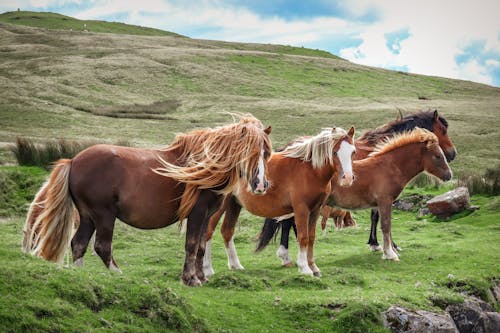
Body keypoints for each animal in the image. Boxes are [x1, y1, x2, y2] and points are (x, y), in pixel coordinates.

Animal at [22, 114, 274, 286]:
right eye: (249, 153)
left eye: (266, 153)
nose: (261, 185)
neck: (204, 167)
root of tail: (73, 161)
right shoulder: (197, 213)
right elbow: (192, 244)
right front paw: (190, 279)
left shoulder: (207, 215)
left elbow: (201, 246)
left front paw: (201, 277)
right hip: (103, 215)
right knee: (101, 246)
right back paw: (117, 274)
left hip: (87, 216)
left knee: (79, 244)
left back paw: (82, 274)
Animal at [203, 126, 356, 276]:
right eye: (335, 152)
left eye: (353, 152)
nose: (348, 178)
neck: (310, 170)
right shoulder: (301, 209)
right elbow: (303, 236)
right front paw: (304, 268)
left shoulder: (315, 210)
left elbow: (311, 237)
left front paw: (313, 267)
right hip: (221, 205)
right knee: (209, 231)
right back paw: (207, 269)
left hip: (234, 204)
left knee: (227, 230)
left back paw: (235, 265)